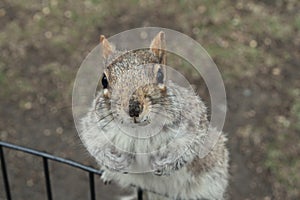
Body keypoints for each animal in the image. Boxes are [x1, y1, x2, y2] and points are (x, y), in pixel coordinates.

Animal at [78, 31, 229, 200]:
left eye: (160, 75)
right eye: (104, 80)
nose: (134, 109)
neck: (139, 129)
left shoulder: (193, 120)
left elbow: (191, 146)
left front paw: (164, 165)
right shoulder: (94, 123)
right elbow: (92, 143)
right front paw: (113, 162)